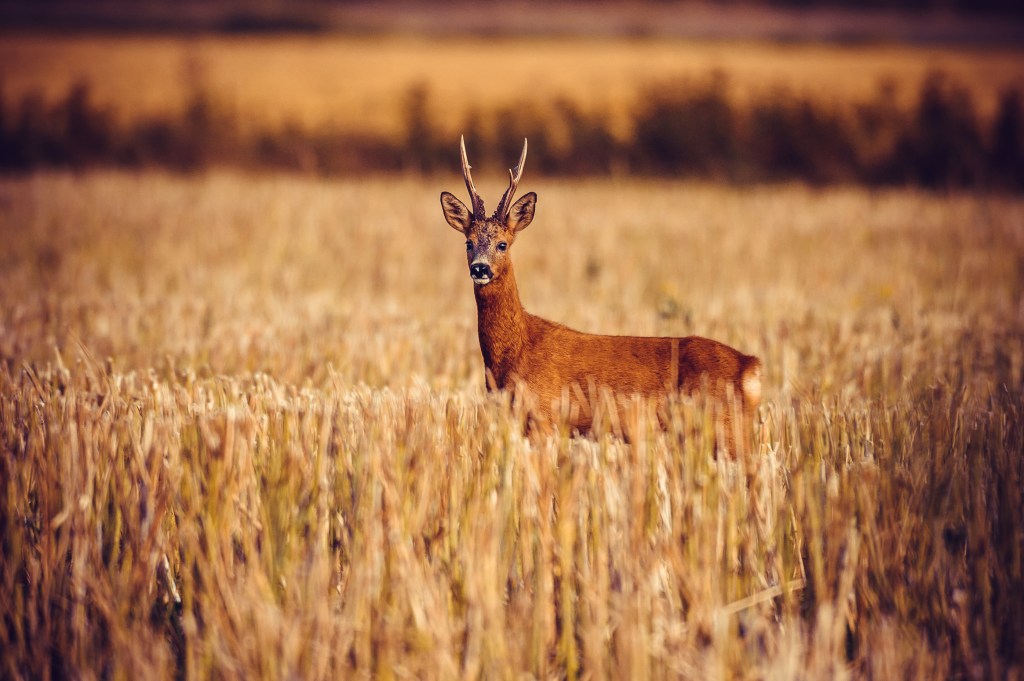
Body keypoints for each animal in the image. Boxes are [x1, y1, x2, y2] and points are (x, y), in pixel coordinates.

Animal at [440, 136, 762, 452]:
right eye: (469, 242)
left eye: (503, 244)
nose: (480, 268)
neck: (514, 351)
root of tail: (750, 366)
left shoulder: (544, 416)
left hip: (724, 429)